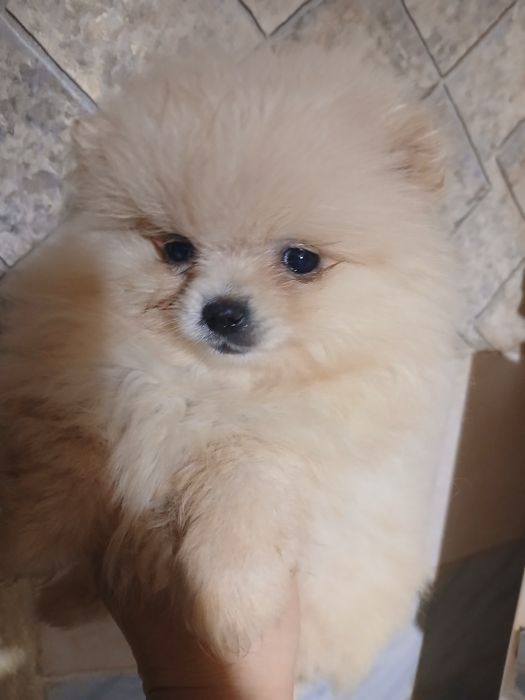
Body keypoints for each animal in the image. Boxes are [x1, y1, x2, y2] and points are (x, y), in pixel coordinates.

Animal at [0, 45, 458, 690]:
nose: (222, 311)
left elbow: (240, 501)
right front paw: (20, 545)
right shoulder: (86, 392)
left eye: (300, 260)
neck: (213, 383)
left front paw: (229, 614)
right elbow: (66, 471)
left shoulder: (283, 455)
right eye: (176, 250)